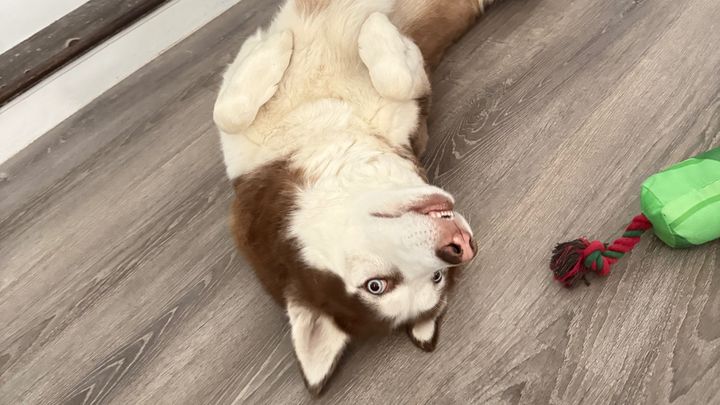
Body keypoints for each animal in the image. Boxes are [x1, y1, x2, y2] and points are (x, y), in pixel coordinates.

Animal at [214, 0, 493, 395]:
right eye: (376, 286)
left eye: (438, 277)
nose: (460, 248)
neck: (325, 131)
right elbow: (229, 113)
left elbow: (228, 112)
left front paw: (366, 28)